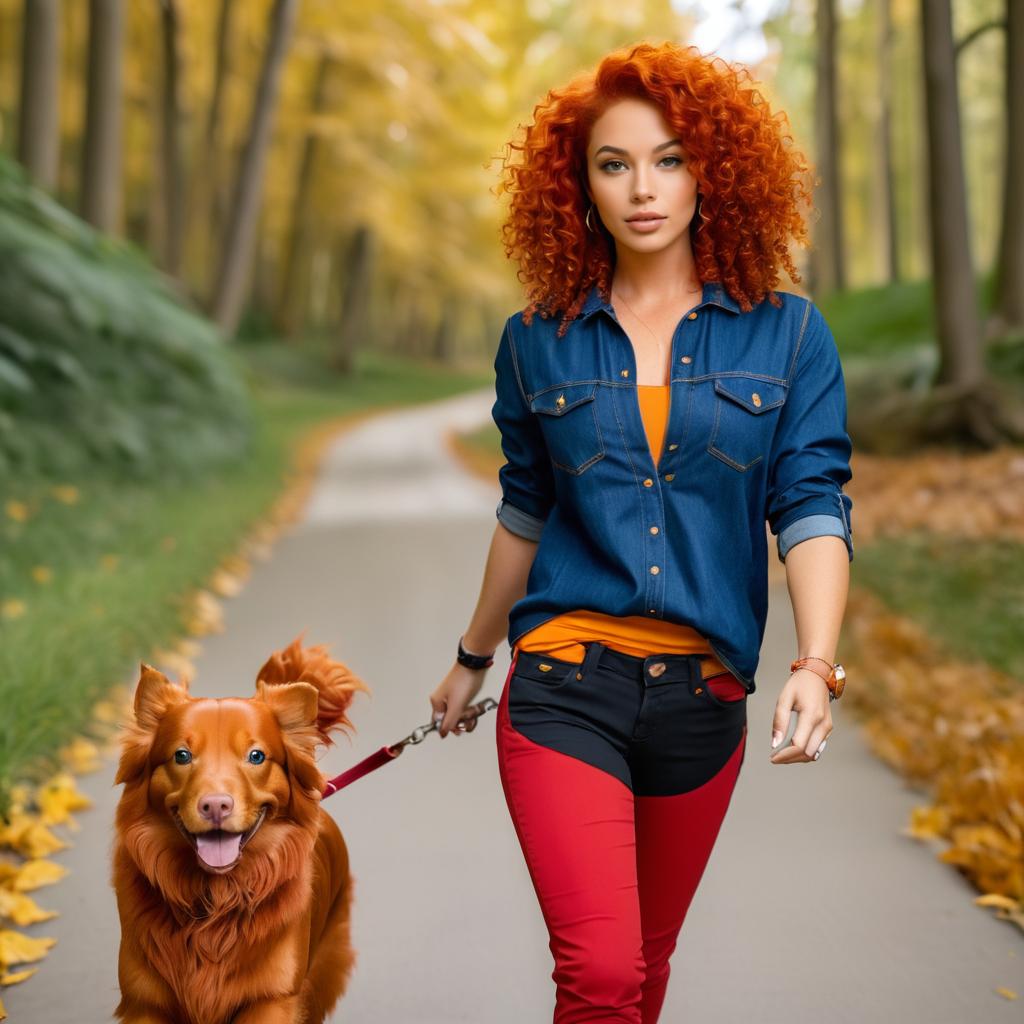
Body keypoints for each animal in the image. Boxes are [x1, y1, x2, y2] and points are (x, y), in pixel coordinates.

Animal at [113, 634, 368, 1019]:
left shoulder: (271, 999)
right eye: (182, 755)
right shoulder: (145, 1002)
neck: (213, 905)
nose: (216, 805)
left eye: (256, 756)